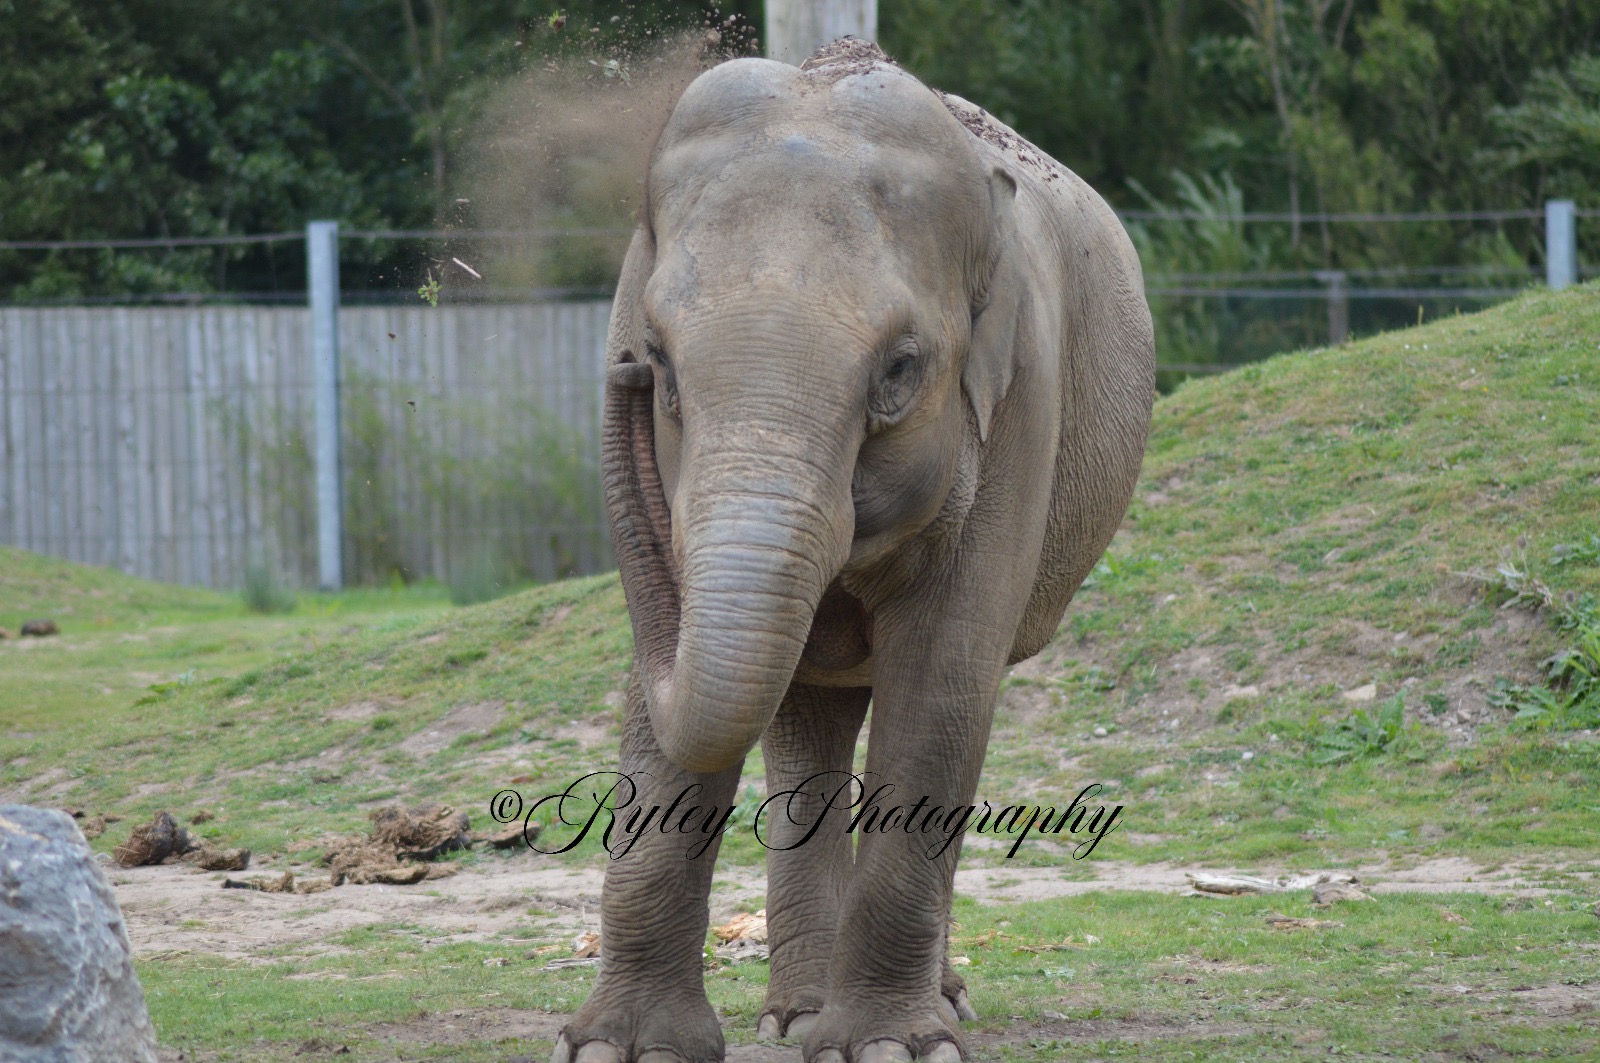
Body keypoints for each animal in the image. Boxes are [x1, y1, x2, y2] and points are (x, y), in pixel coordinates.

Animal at [554, 38, 1155, 1063]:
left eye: (900, 371)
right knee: (806, 714)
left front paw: (888, 1047)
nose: (623, 372)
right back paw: (795, 1012)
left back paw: (927, 1006)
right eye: (659, 361)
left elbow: (943, 677)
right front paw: (621, 1048)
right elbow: (664, 692)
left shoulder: (1023, 397)